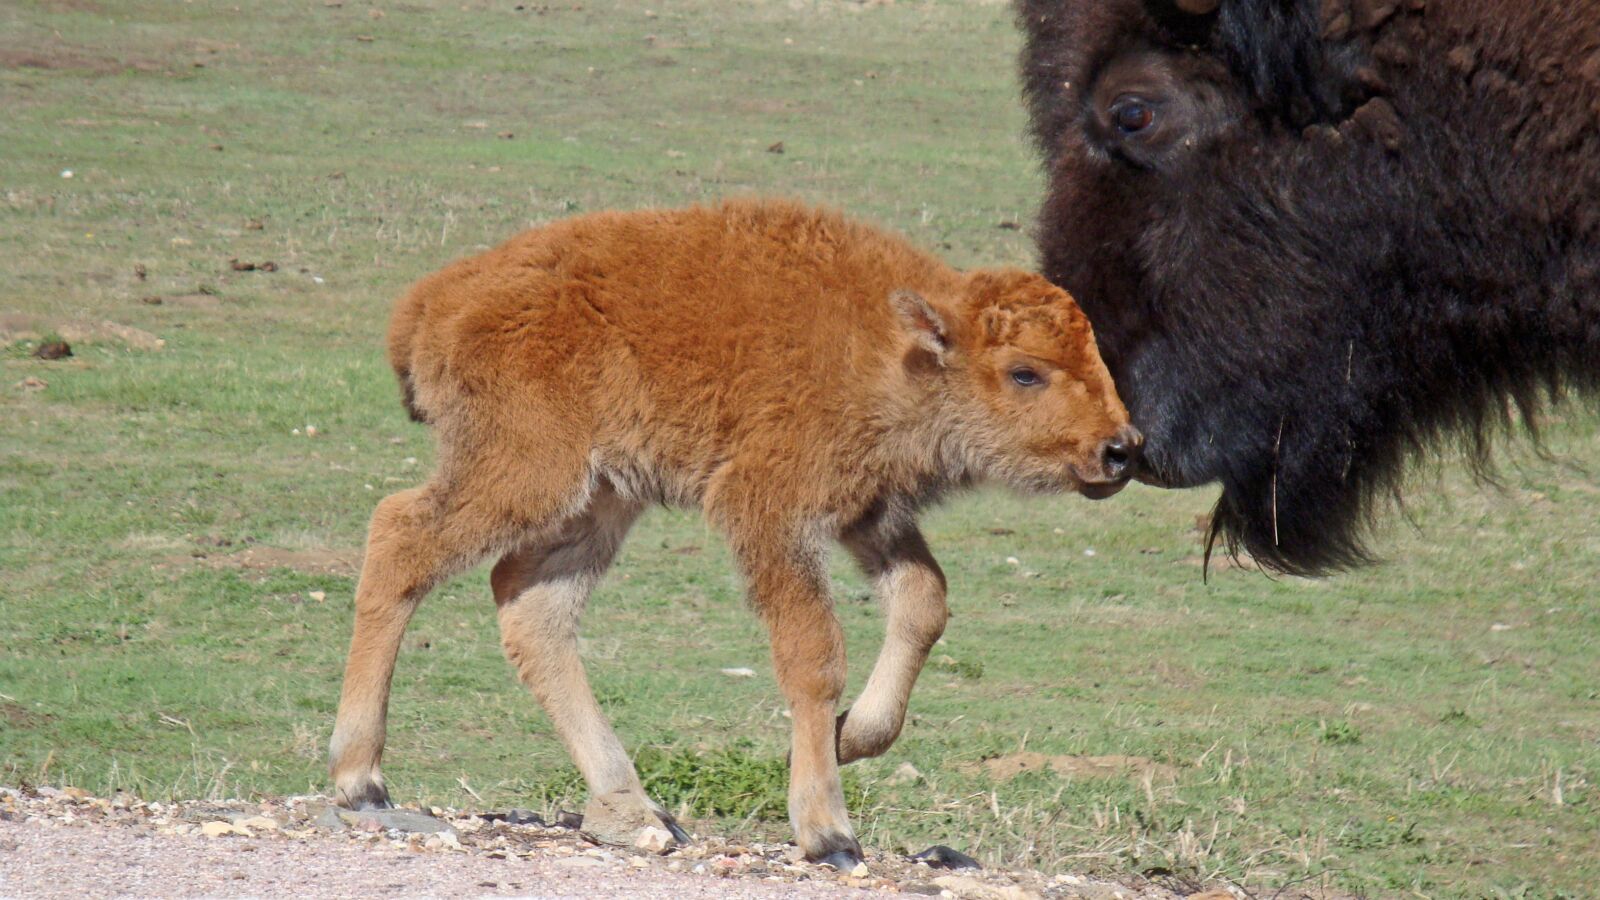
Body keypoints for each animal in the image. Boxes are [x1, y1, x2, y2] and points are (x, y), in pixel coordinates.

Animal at [331, 196, 1145, 864]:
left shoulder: (869, 514)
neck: (890, 347)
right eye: (1025, 373)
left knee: (530, 605)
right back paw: (361, 780)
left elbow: (924, 603)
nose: (1121, 449)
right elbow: (814, 653)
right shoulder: (770, 511)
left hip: (604, 497)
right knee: (400, 538)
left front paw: (852, 735)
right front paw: (828, 832)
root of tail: (432, 300)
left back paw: (634, 809)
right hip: (528, 473)